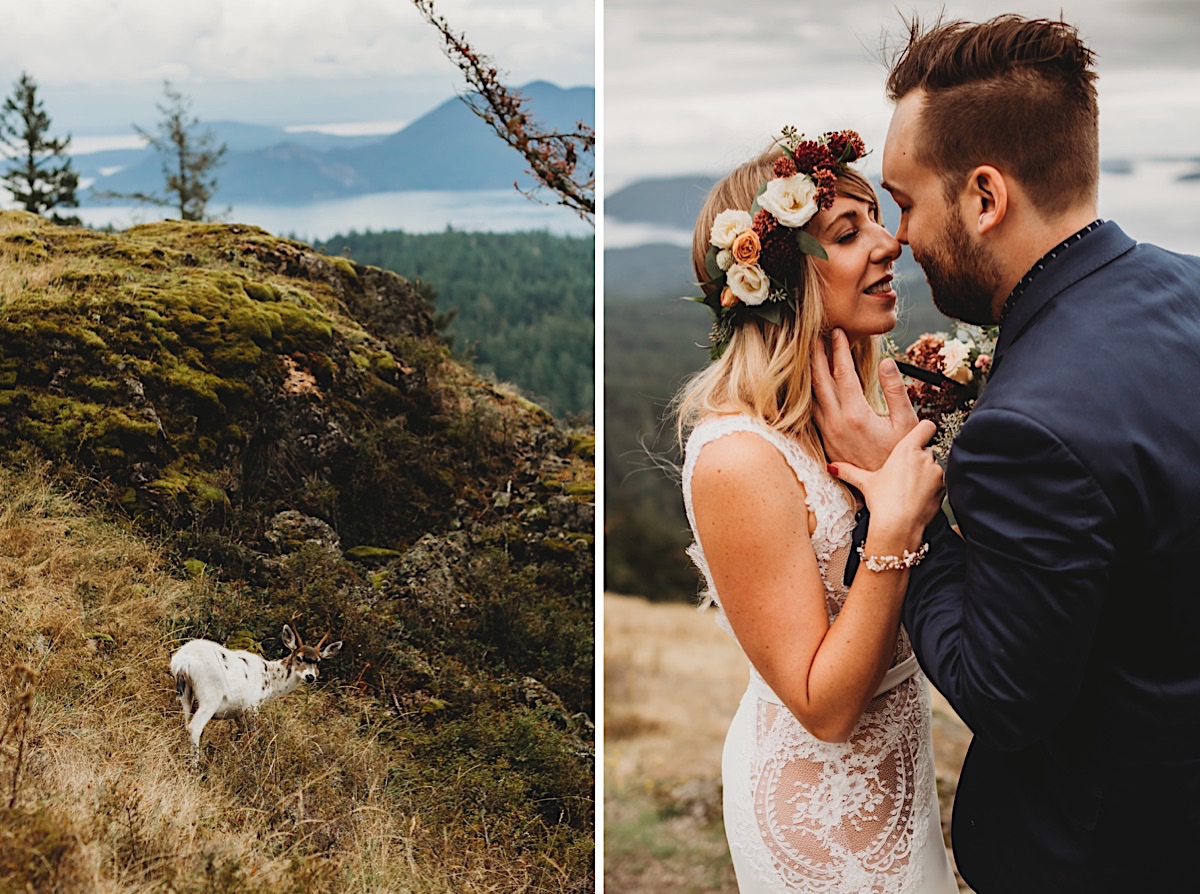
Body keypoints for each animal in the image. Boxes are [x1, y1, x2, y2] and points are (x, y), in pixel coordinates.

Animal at [168, 619, 343, 758]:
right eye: (299, 657)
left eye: (318, 661)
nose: (310, 676)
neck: (270, 679)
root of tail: (183, 663)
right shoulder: (252, 706)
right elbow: (252, 735)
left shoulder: (237, 712)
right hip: (210, 696)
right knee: (195, 727)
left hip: (185, 696)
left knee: (184, 724)